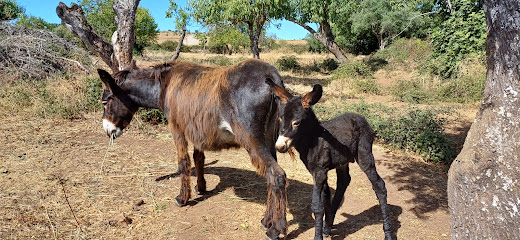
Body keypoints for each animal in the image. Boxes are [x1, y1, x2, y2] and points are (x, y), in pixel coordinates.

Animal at [266, 80, 392, 240]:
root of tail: (360, 117)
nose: (280, 146)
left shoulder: (319, 171)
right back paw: (328, 227)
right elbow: (325, 197)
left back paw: (388, 233)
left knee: (379, 185)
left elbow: (317, 206)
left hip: (364, 155)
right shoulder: (318, 171)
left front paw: (317, 236)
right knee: (344, 181)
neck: (313, 138)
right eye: (280, 119)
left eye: (297, 122)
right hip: (343, 161)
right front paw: (324, 229)